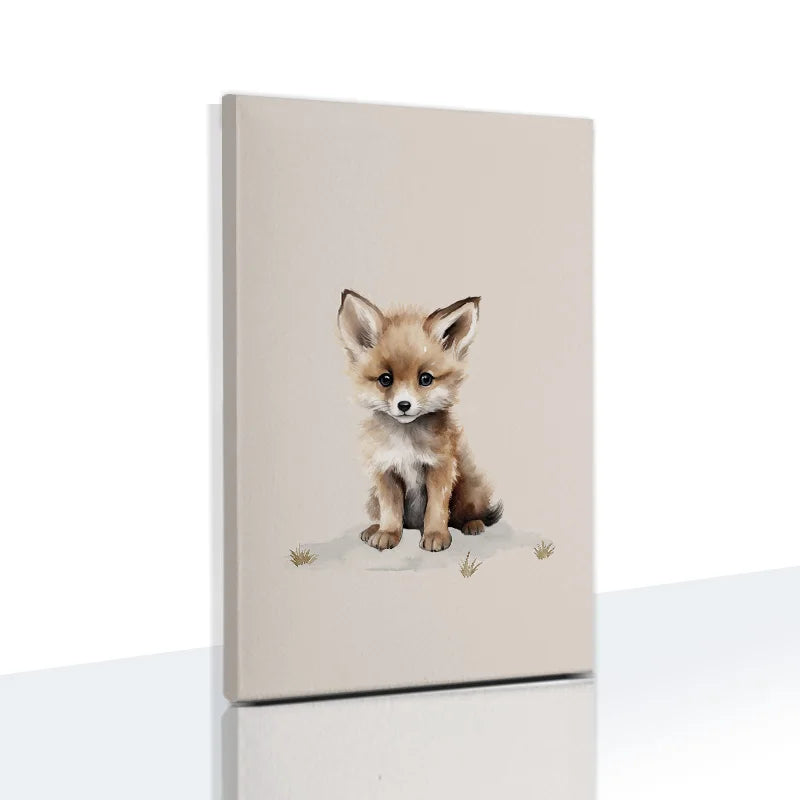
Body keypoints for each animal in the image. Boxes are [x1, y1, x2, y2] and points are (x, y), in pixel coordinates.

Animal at [337, 289, 502, 553]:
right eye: (385, 379)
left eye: (425, 379)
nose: (404, 405)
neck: (406, 444)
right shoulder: (386, 471)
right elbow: (391, 512)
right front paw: (387, 533)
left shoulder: (439, 468)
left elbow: (436, 510)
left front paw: (435, 535)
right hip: (372, 497)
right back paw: (374, 528)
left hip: (467, 491)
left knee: (465, 516)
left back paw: (473, 525)